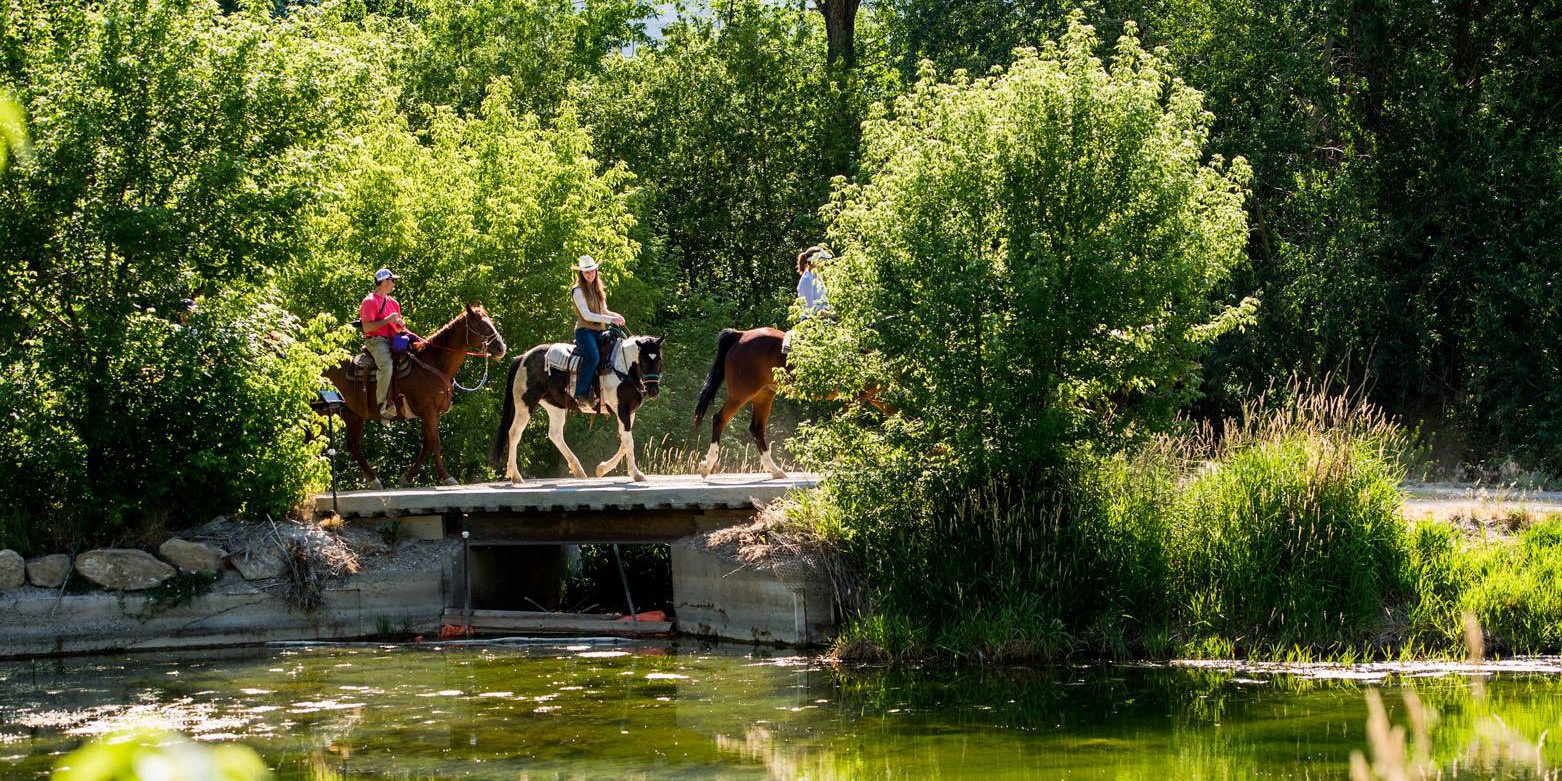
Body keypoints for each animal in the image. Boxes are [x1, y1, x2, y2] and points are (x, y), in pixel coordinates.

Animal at [324, 304, 506, 487]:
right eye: (481, 324)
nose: (501, 348)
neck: (434, 363)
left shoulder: (433, 413)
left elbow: (427, 444)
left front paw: (407, 477)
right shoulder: (428, 410)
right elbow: (435, 443)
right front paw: (446, 477)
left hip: (352, 415)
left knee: (353, 445)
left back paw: (373, 480)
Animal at [487, 335, 659, 481]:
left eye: (659, 359)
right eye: (644, 359)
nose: (653, 390)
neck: (622, 367)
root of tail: (523, 357)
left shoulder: (629, 412)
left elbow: (624, 441)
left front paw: (602, 469)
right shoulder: (622, 409)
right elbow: (628, 441)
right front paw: (636, 474)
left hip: (555, 406)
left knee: (555, 434)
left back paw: (578, 470)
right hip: (525, 404)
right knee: (515, 433)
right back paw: (515, 475)